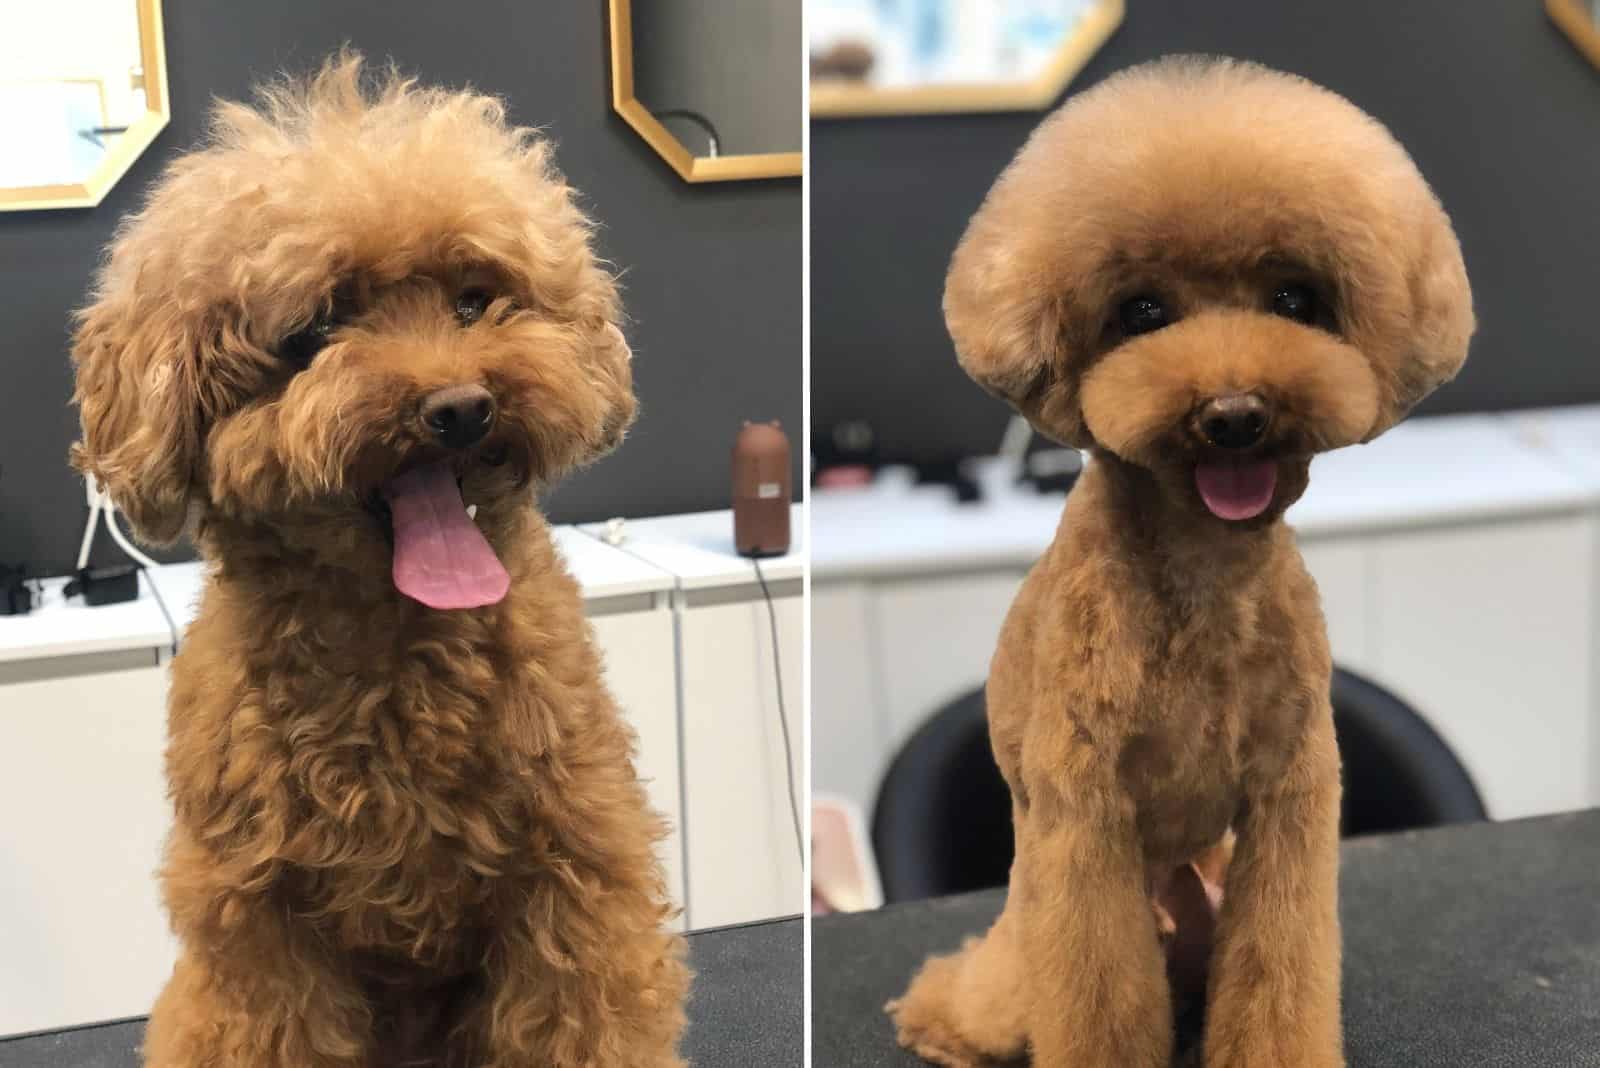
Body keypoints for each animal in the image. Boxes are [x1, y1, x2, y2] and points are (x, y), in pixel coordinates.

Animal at [70, 58, 688, 1068]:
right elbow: (273, 1028)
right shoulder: (260, 916)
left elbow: (585, 1018)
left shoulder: (577, 871)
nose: (460, 408)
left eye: (473, 301)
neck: (400, 660)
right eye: (313, 332)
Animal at [896, 58, 1465, 1068]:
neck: (1205, 577)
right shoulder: (1085, 819)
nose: (1235, 413)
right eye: (1143, 311)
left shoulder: (1290, 798)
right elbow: (1096, 997)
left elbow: (1281, 968)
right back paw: (940, 1023)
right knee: (991, 989)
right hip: (1031, 918)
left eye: (1294, 300)